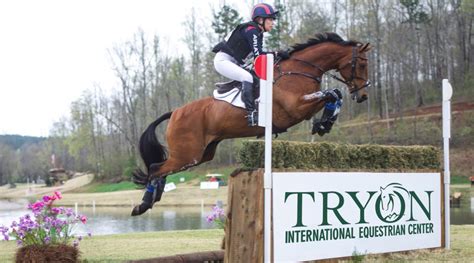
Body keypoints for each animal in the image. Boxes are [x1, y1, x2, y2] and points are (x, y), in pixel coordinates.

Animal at [131, 32, 372, 217]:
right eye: (361, 64)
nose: (363, 96)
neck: (298, 70)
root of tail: (175, 112)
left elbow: (335, 94)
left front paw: (324, 123)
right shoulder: (296, 109)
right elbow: (332, 92)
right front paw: (324, 123)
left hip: (201, 154)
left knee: (160, 170)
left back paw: (151, 200)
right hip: (187, 154)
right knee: (156, 168)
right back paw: (143, 204)